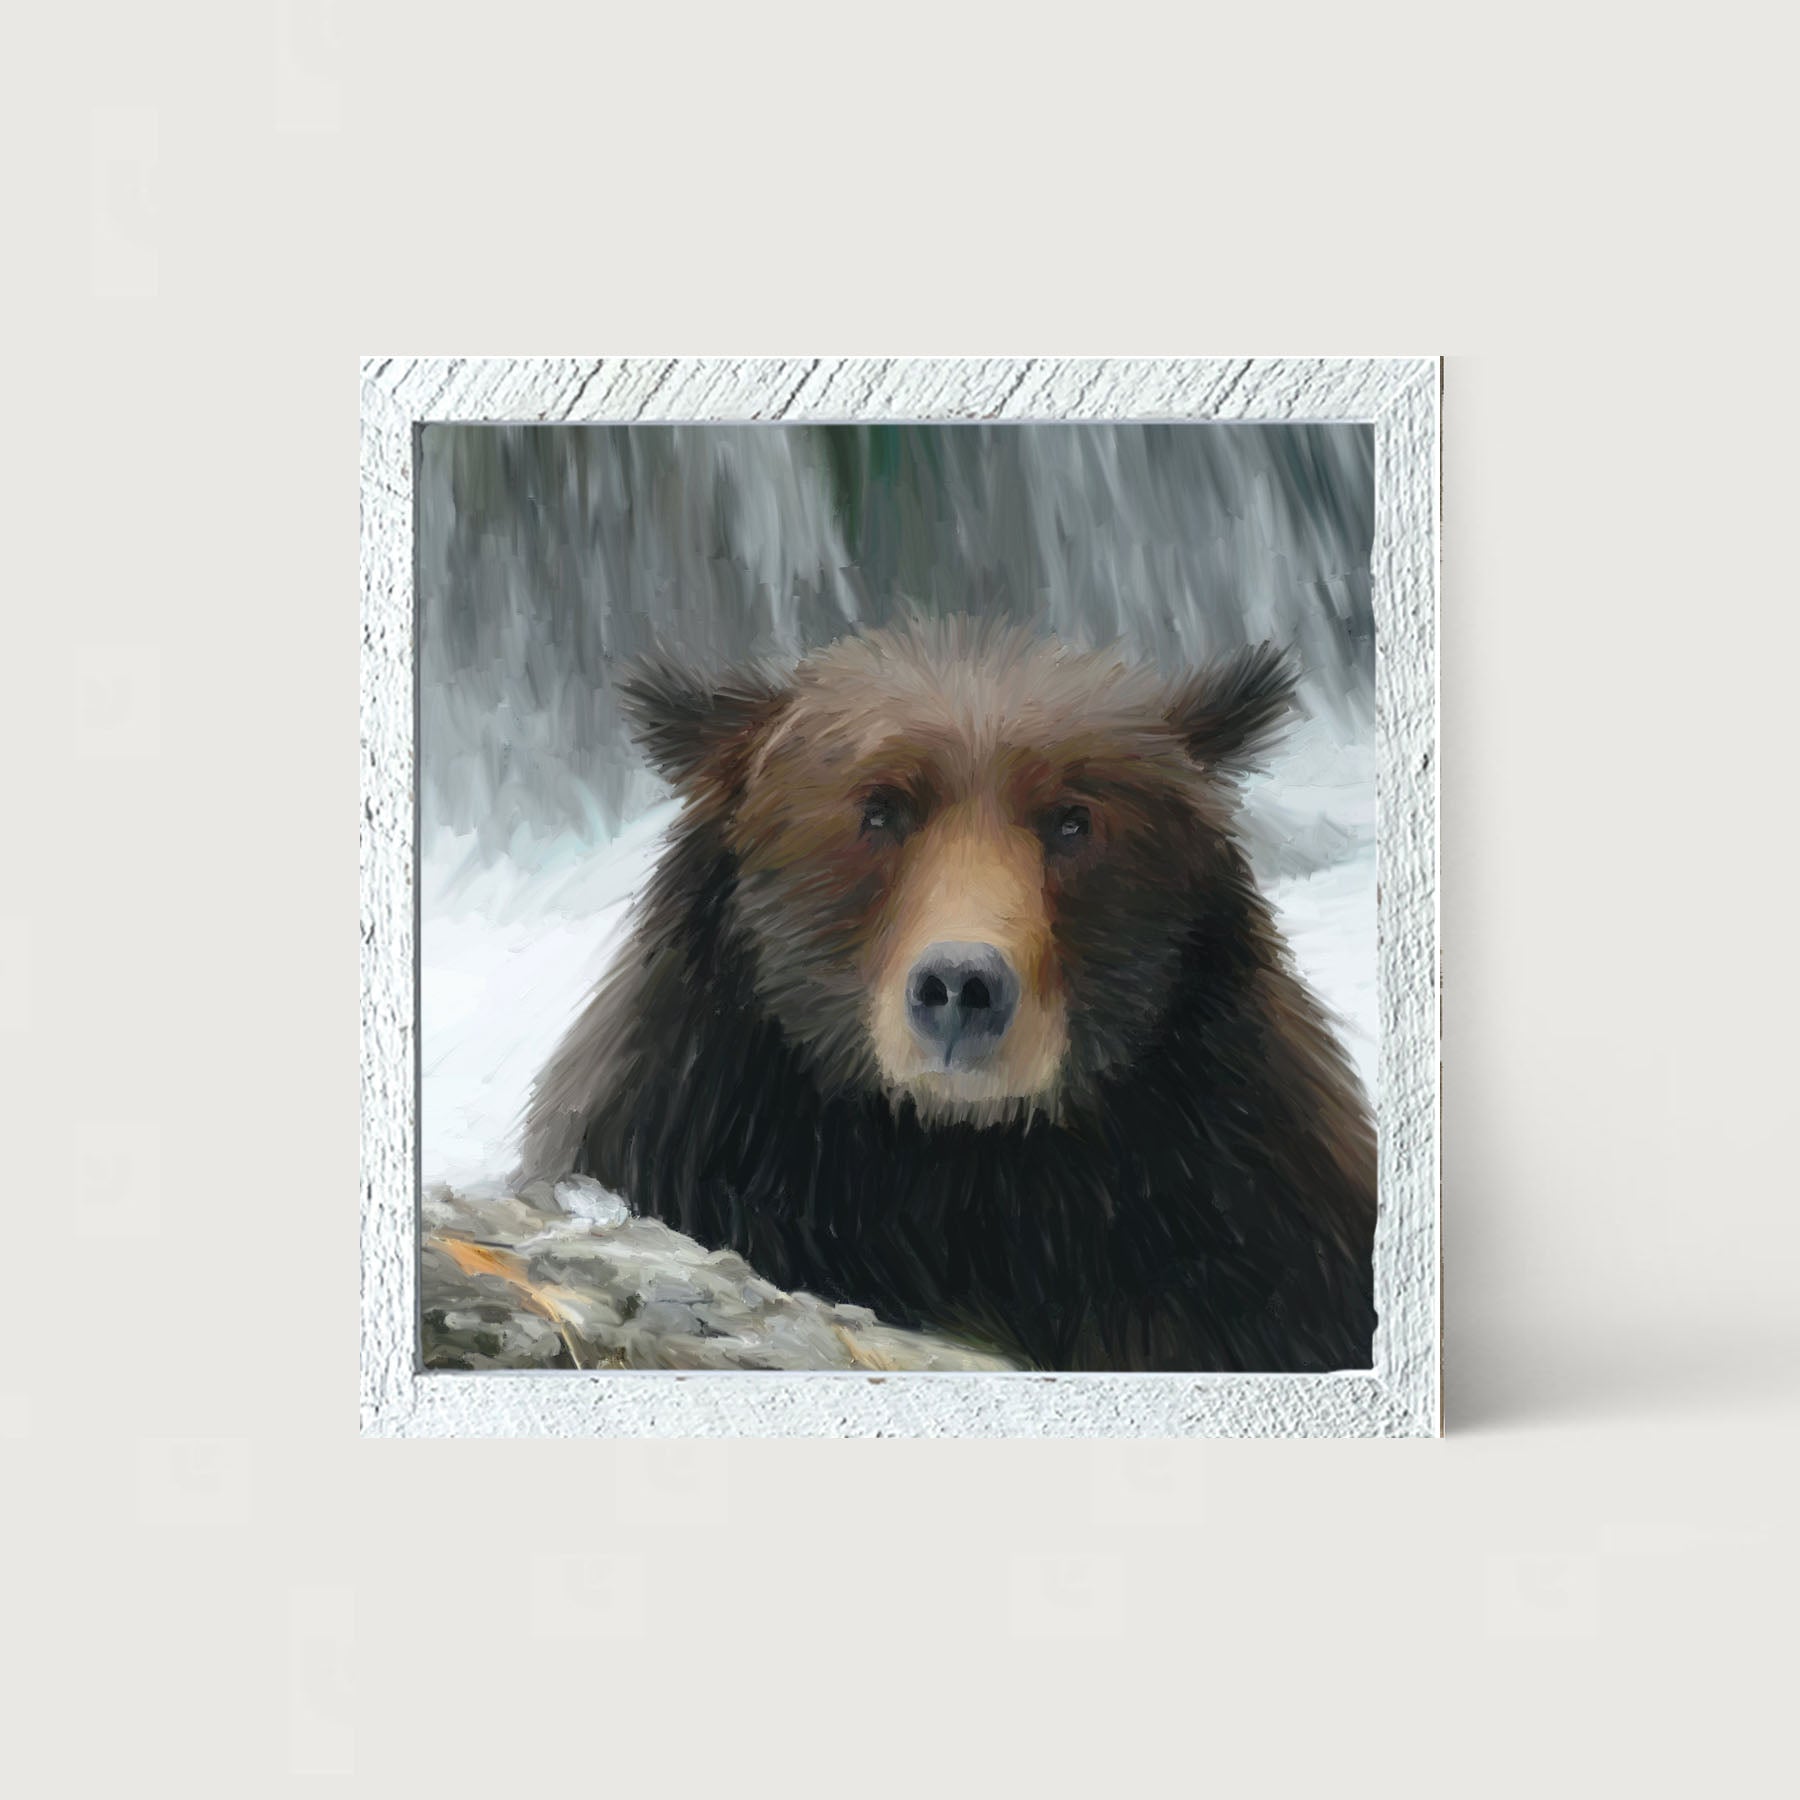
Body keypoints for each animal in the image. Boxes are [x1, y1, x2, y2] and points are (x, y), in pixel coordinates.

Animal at [521, 616, 1376, 1373]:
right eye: (880, 809)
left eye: (1072, 820)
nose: (962, 985)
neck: (958, 1165)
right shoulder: (692, 1140)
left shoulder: (1241, 1222)